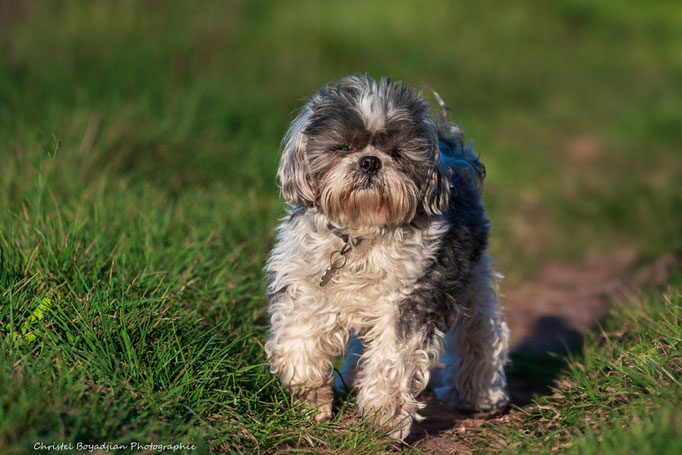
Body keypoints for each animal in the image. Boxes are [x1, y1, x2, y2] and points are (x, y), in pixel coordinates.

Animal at [262, 75, 508, 442]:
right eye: (343, 148)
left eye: (396, 153)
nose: (370, 161)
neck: (361, 233)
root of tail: (452, 147)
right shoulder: (305, 289)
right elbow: (298, 345)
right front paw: (312, 401)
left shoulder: (408, 301)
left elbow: (392, 361)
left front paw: (383, 419)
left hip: (474, 281)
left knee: (479, 335)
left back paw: (478, 397)